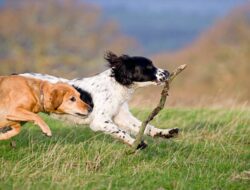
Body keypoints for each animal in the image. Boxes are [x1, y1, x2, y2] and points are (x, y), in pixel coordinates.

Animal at [21, 51, 178, 148]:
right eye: (149, 67)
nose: (167, 72)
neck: (115, 84)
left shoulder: (121, 115)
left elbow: (144, 126)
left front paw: (166, 132)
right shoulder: (100, 121)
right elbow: (120, 131)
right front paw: (136, 143)